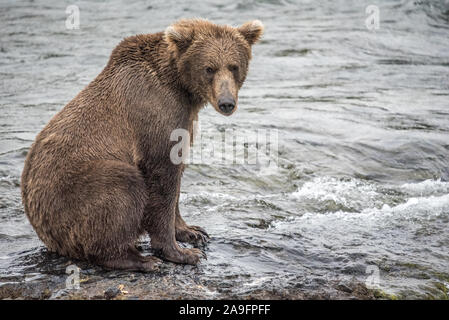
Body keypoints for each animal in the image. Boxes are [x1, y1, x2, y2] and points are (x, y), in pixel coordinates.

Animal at [21, 18, 262, 272]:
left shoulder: (185, 121)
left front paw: (193, 232)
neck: (180, 86)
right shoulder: (155, 114)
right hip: (73, 193)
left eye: (234, 66)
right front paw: (182, 253)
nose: (226, 103)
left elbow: (176, 178)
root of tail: (45, 233)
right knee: (121, 188)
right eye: (209, 68)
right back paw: (140, 259)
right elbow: (162, 180)